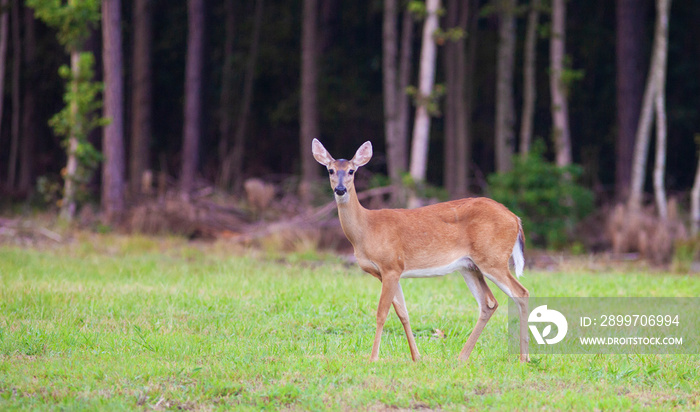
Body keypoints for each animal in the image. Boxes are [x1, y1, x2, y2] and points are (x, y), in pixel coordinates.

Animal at [312, 139, 532, 364]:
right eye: (330, 170)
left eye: (351, 171)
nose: (340, 189)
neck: (366, 229)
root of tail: (515, 218)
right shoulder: (388, 273)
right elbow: (403, 313)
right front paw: (416, 356)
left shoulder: (391, 265)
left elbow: (382, 313)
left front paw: (373, 358)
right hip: (470, 266)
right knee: (489, 303)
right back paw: (462, 356)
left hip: (493, 259)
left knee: (521, 292)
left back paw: (523, 358)